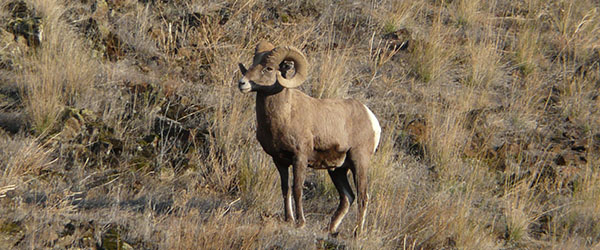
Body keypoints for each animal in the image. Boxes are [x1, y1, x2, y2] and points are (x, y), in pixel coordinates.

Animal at [238, 41, 382, 236]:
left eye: (268, 68)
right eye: (253, 63)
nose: (242, 83)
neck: (285, 115)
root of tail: (371, 118)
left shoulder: (300, 158)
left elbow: (297, 189)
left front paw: (300, 223)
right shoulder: (280, 161)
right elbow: (285, 189)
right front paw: (289, 219)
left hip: (359, 163)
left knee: (362, 196)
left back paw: (357, 233)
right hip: (337, 170)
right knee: (347, 197)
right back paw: (330, 229)